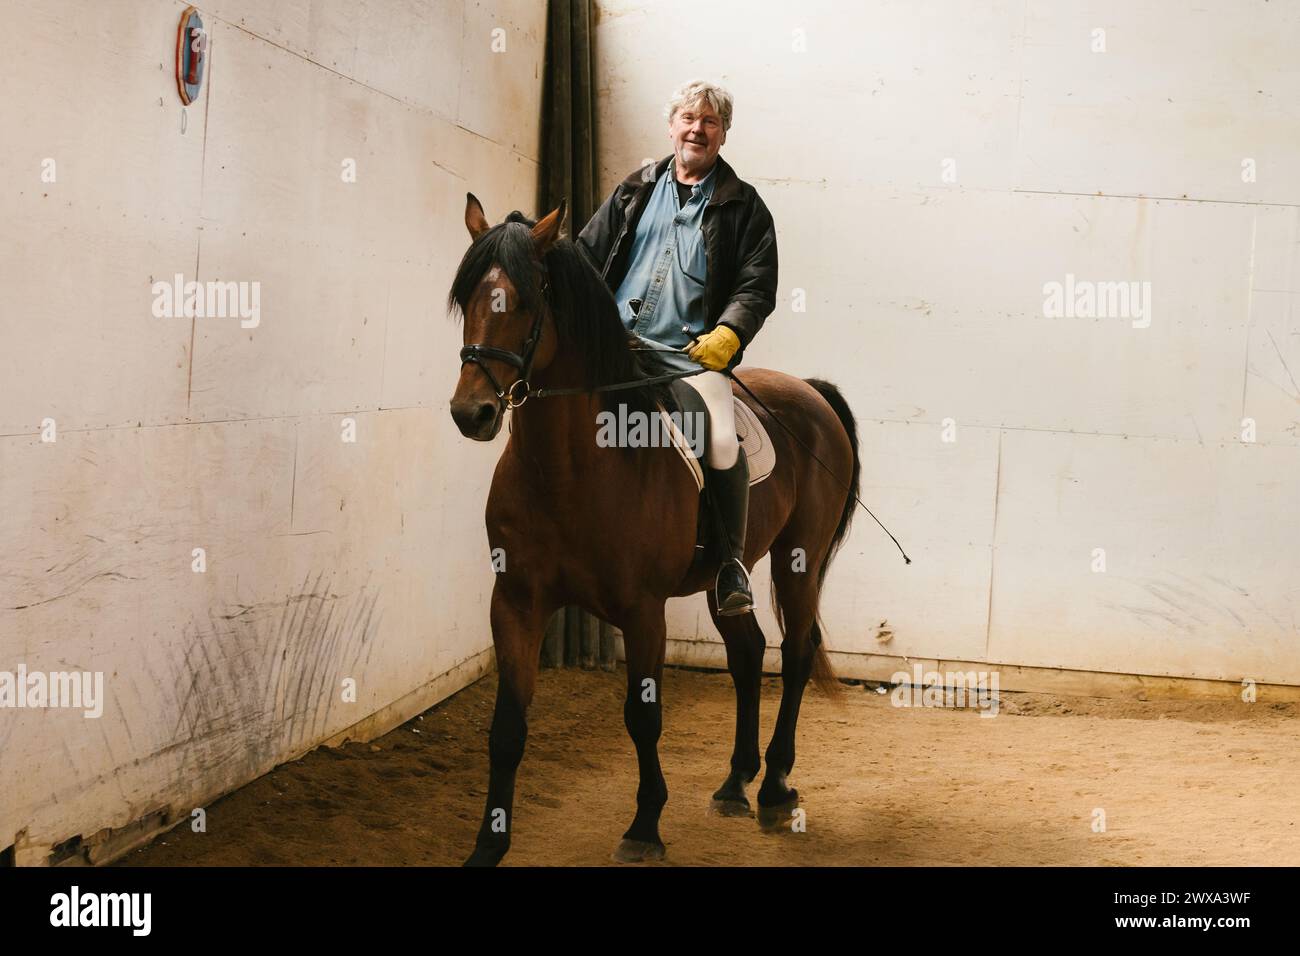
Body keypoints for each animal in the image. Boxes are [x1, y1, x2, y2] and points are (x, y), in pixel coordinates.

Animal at [452, 192, 857, 868]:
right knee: (748, 654)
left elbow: (643, 717)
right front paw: (488, 845)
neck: (569, 467)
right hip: (728, 575)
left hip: (797, 558)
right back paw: (734, 783)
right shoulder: (514, 602)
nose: (471, 412)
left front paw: (644, 827)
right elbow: (507, 727)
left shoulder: (643, 611)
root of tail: (810, 391)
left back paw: (774, 786)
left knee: (796, 654)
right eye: (466, 300)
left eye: (528, 302)